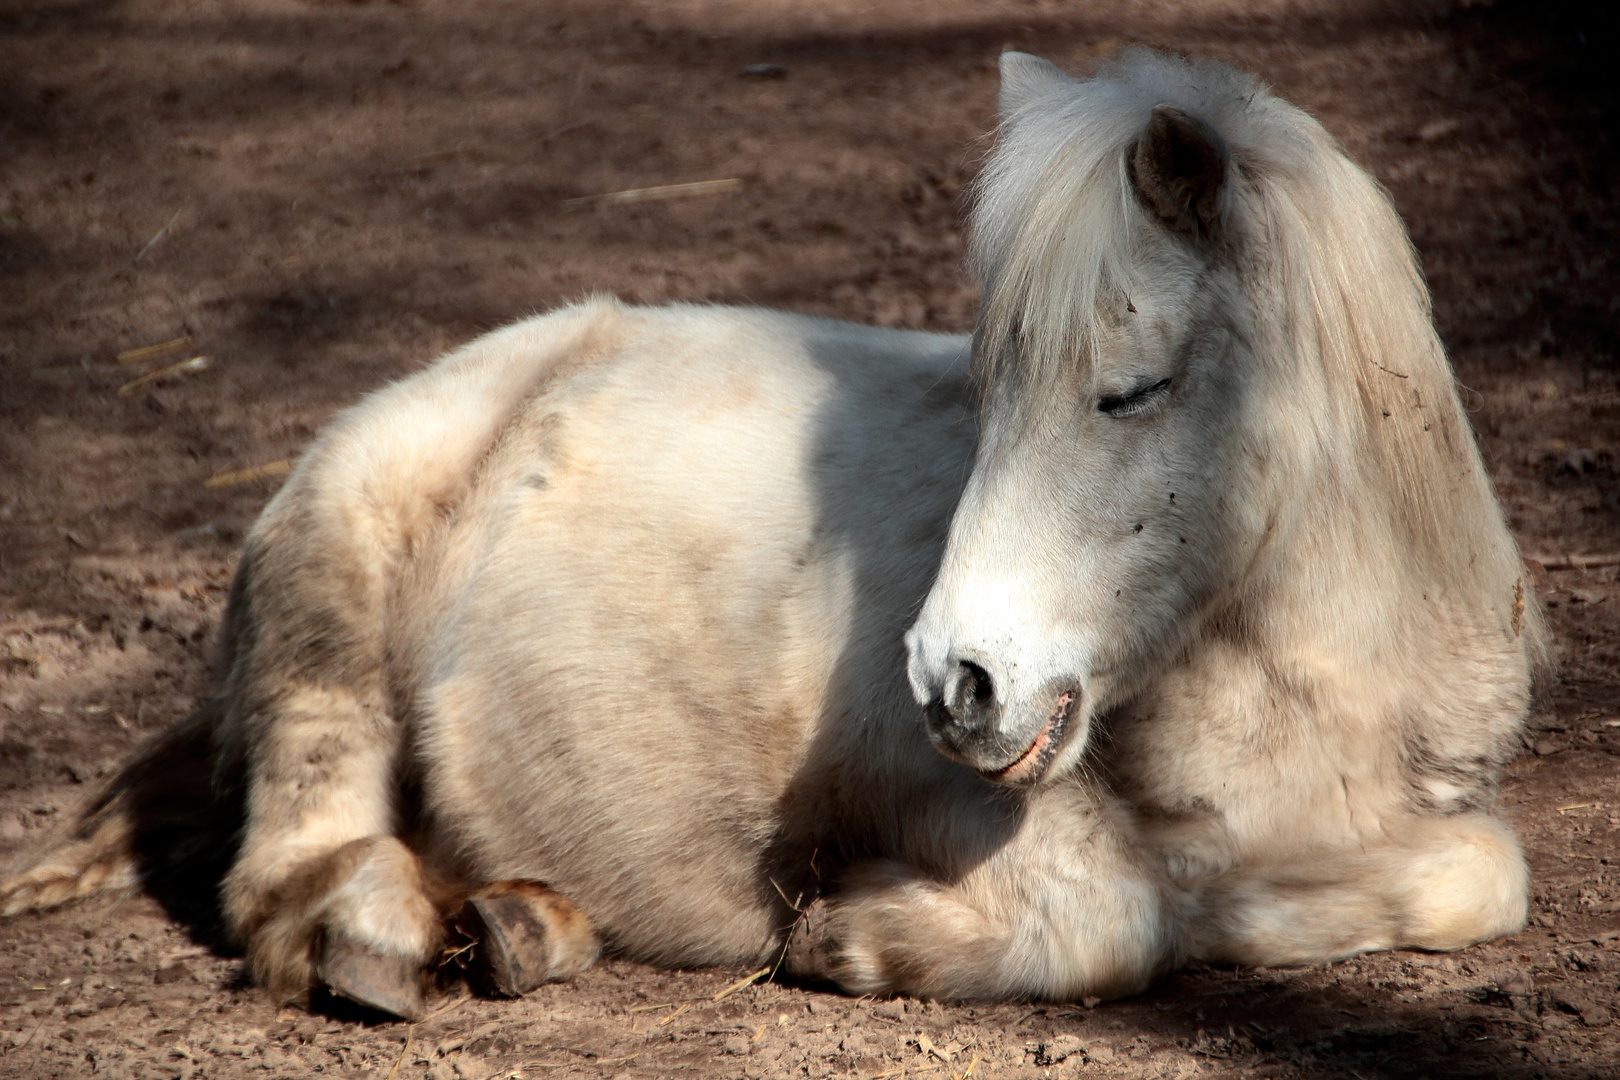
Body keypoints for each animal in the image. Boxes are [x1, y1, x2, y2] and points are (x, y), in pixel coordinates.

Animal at [3, 46, 1542, 1016]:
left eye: (1133, 388)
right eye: (989, 384)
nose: (955, 681)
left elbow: (1481, 876)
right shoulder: (935, 797)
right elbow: (1115, 913)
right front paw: (855, 934)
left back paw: (516, 924)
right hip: (338, 600)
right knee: (292, 863)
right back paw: (382, 937)